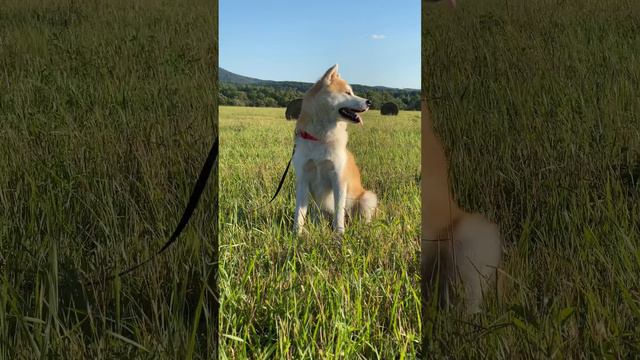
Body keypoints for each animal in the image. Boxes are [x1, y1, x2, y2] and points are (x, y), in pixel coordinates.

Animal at [292, 64, 378, 236]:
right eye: (347, 93)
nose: (369, 102)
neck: (320, 138)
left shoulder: (338, 179)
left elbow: (339, 211)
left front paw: (339, 235)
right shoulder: (303, 179)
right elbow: (299, 212)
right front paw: (296, 234)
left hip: (366, 198)